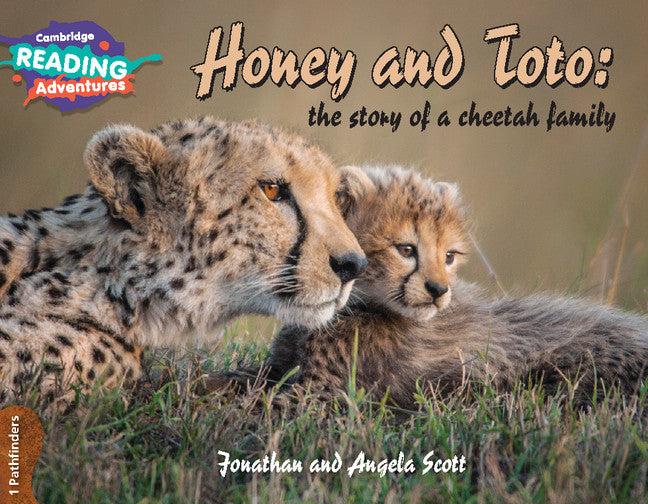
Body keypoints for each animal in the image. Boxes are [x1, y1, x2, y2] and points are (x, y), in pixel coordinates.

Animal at [213, 164, 648, 409]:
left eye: (450, 256)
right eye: (406, 249)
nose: (439, 290)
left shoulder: (323, 393)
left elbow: (260, 405)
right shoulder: (279, 368)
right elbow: (237, 377)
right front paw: (206, 383)